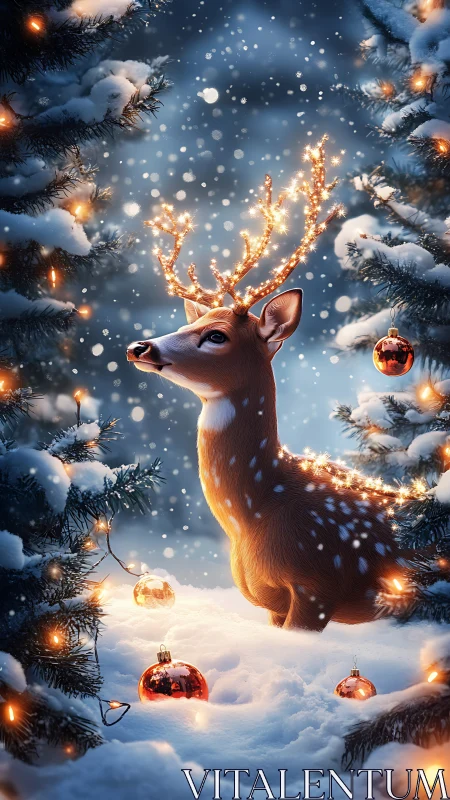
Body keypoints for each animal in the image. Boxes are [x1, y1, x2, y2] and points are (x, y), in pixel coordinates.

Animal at [127, 137, 411, 631]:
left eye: (216, 335)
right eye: (192, 321)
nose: (140, 348)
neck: (256, 513)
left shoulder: (317, 587)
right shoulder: (274, 604)